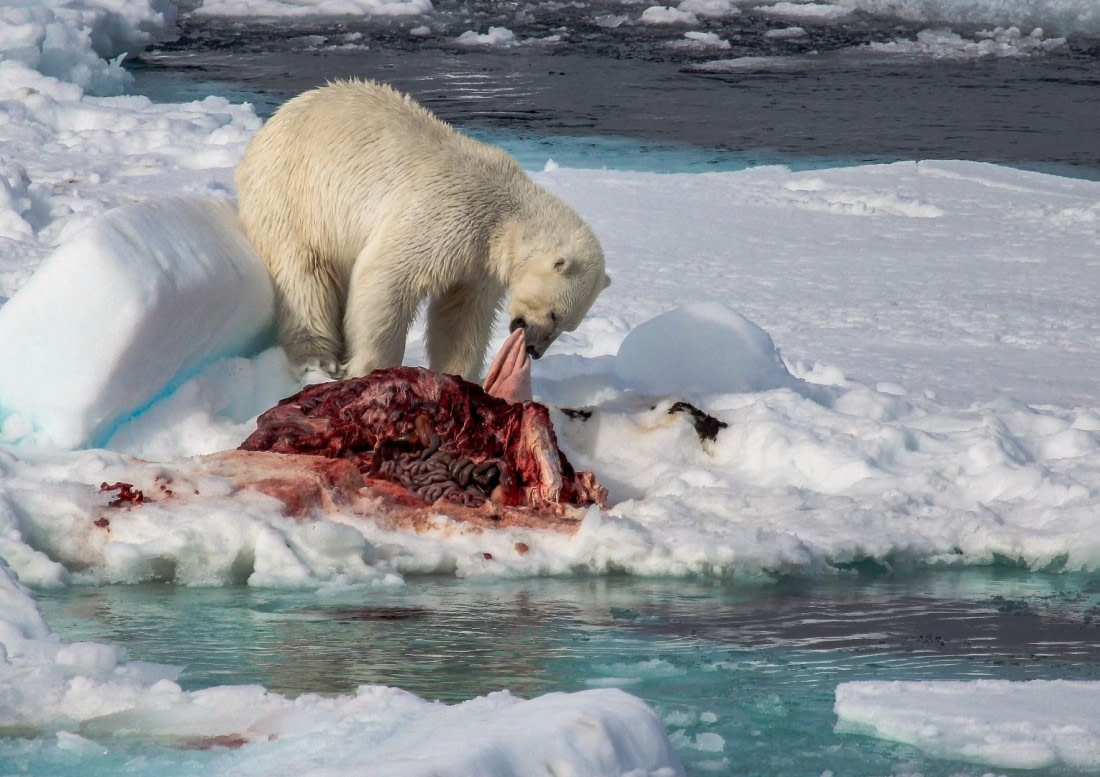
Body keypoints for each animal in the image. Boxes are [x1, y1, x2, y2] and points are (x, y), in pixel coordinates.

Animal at [235, 79, 611, 380]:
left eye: (568, 325)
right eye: (554, 313)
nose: (534, 349)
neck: (504, 212)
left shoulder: (479, 264)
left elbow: (460, 314)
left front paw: (458, 375)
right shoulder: (446, 216)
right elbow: (385, 279)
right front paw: (371, 368)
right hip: (292, 197)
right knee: (304, 276)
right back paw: (317, 360)